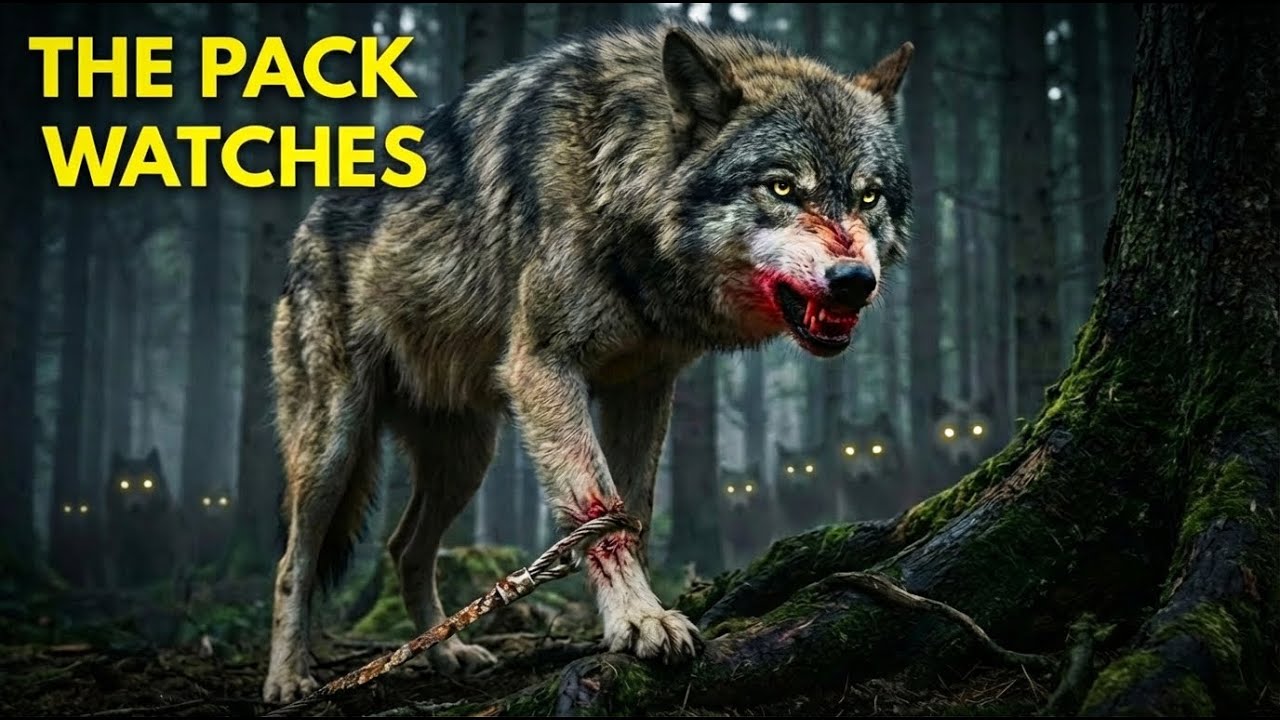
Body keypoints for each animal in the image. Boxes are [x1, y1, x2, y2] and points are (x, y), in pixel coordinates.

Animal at [262, 23, 914, 701]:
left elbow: (634, 509)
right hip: (335, 448)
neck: (614, 178)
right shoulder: (545, 371)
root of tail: (310, 221)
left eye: (869, 196)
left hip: (467, 459)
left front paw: (637, 612)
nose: (854, 282)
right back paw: (289, 678)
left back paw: (448, 653)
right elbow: (599, 508)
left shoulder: (646, 386)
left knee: (403, 548)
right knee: (293, 563)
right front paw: (640, 619)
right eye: (783, 186)